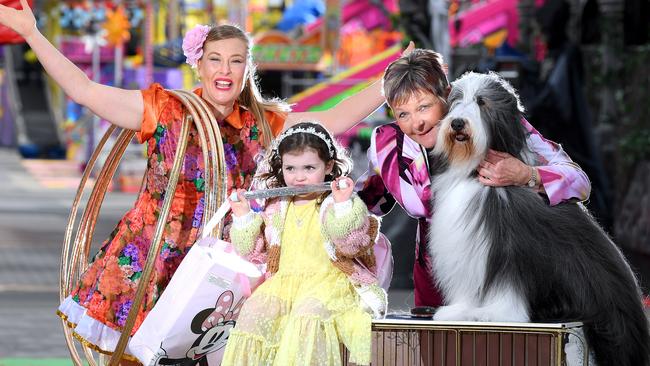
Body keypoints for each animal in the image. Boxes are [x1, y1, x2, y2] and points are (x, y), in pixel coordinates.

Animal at [428, 72, 644, 366]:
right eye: (455, 101)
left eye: (482, 102)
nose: (458, 123)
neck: (475, 174)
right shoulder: (472, 250)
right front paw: (460, 310)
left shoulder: (509, 250)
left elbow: (507, 287)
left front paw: (494, 314)